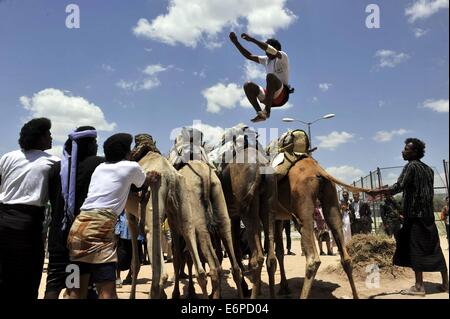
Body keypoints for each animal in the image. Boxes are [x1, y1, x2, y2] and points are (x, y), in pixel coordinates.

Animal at [125, 152, 209, 300]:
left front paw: (132, 296)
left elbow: (135, 263)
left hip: (153, 208)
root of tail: (170, 175)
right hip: (182, 202)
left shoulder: (130, 217)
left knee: (161, 274)